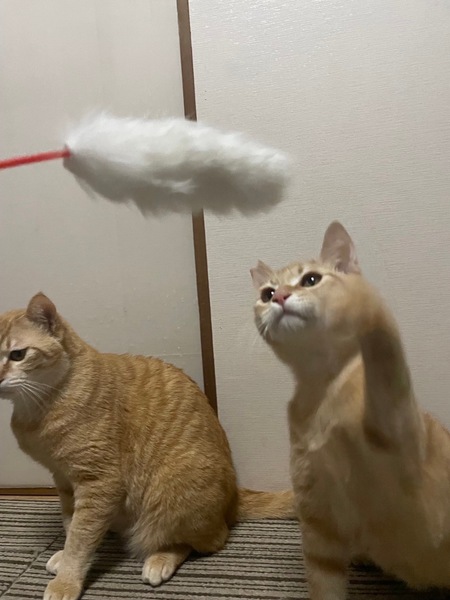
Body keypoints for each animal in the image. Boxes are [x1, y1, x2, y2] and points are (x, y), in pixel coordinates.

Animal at [0, 293, 293, 600]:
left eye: (17, 355)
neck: (37, 410)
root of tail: (233, 497)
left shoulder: (99, 483)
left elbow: (81, 537)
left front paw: (67, 580)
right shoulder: (64, 479)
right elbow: (71, 525)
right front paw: (65, 556)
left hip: (171, 495)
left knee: (205, 540)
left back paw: (160, 559)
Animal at [251, 221, 450, 599]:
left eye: (311, 279)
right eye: (267, 294)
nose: (281, 297)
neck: (322, 389)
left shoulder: (397, 428)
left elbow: (385, 354)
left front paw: (362, 299)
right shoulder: (318, 521)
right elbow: (324, 583)